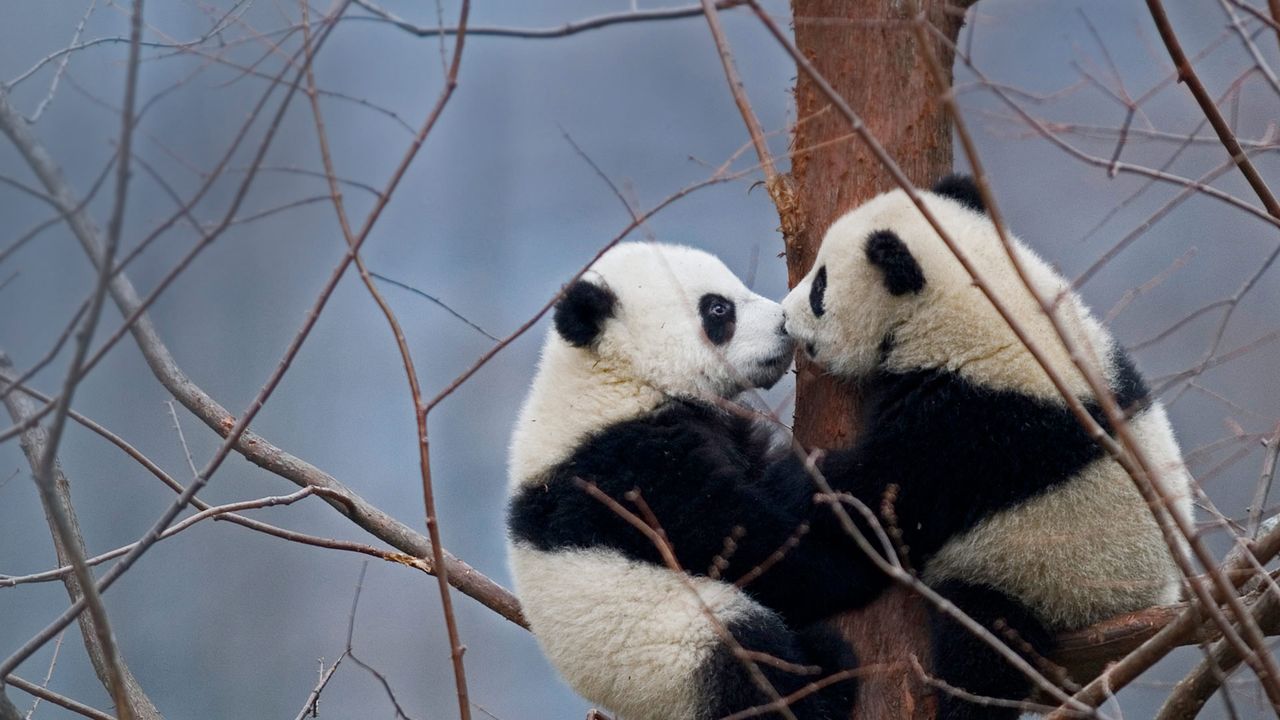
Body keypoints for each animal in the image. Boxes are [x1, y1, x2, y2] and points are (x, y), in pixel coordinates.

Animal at [506, 242, 863, 720]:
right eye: (718, 309)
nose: (784, 325)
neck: (616, 377)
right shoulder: (626, 468)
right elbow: (736, 537)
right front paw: (855, 561)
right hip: (675, 649)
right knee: (749, 660)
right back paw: (826, 678)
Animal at [779, 175, 1195, 719]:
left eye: (821, 287)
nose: (782, 318)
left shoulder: (978, 421)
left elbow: (885, 491)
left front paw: (791, 471)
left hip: (1042, 580)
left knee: (983, 645)